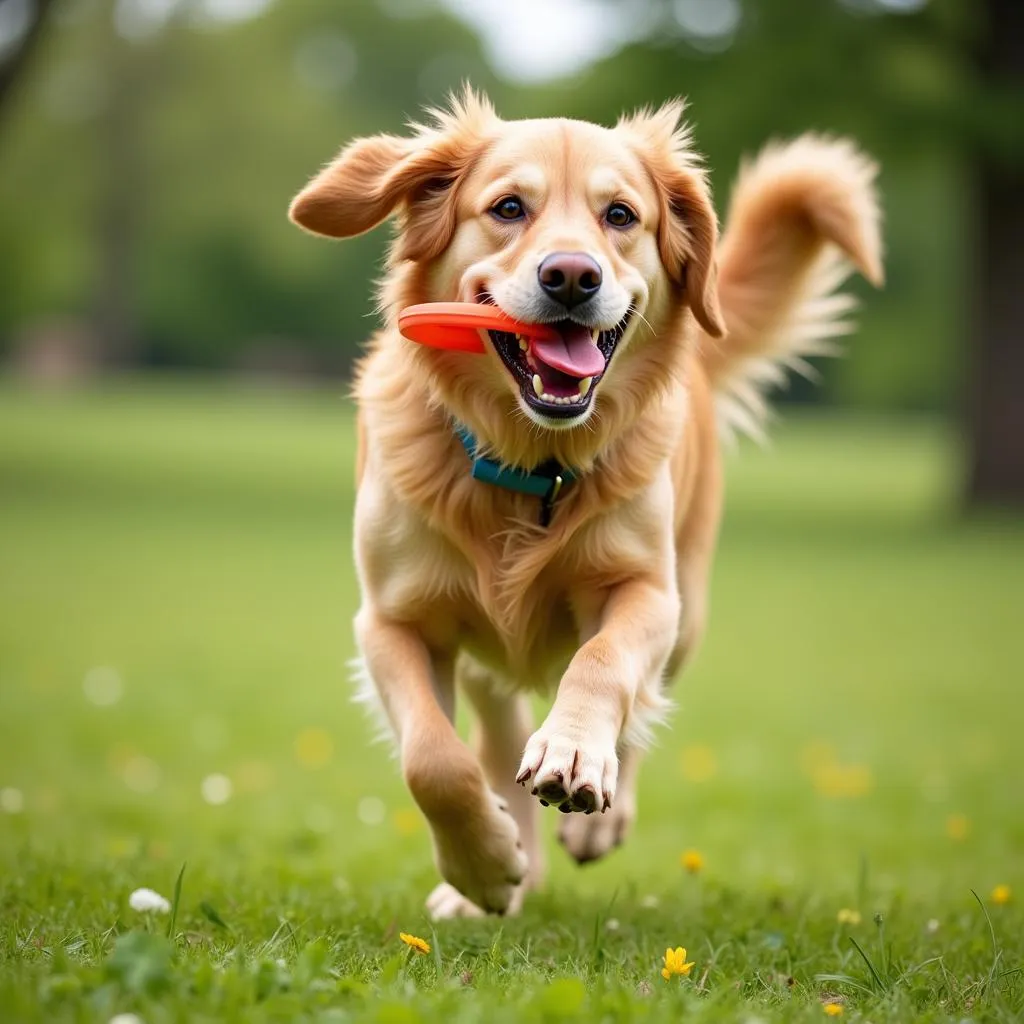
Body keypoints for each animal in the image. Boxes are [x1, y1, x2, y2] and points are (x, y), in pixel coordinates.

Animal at [288, 90, 880, 921]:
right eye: (508, 207)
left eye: (621, 215)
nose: (572, 276)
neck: (531, 464)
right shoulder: (392, 619)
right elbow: (432, 758)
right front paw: (482, 867)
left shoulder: (646, 590)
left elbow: (603, 666)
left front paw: (573, 756)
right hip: (488, 656)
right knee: (497, 738)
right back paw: (507, 870)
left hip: (688, 608)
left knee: (641, 702)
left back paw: (599, 814)